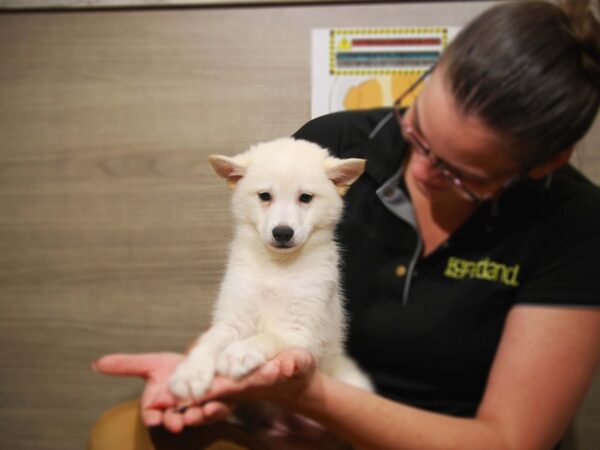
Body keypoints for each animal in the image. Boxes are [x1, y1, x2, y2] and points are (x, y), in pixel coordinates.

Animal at [169, 137, 372, 400]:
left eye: (306, 197)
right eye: (264, 196)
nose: (283, 233)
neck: (278, 268)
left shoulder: (300, 332)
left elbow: (268, 337)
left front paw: (240, 352)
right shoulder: (233, 320)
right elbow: (210, 342)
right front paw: (191, 372)